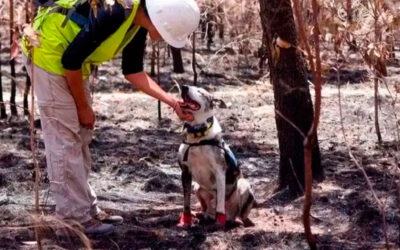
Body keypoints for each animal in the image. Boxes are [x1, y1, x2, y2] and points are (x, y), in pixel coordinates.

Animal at [177, 85, 255, 229]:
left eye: (200, 91)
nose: (184, 87)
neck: (198, 137)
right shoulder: (185, 171)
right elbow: (186, 202)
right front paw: (186, 221)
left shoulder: (219, 170)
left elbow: (220, 202)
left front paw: (220, 221)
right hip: (197, 187)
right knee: (206, 207)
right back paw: (201, 215)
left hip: (243, 184)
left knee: (240, 214)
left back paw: (236, 221)